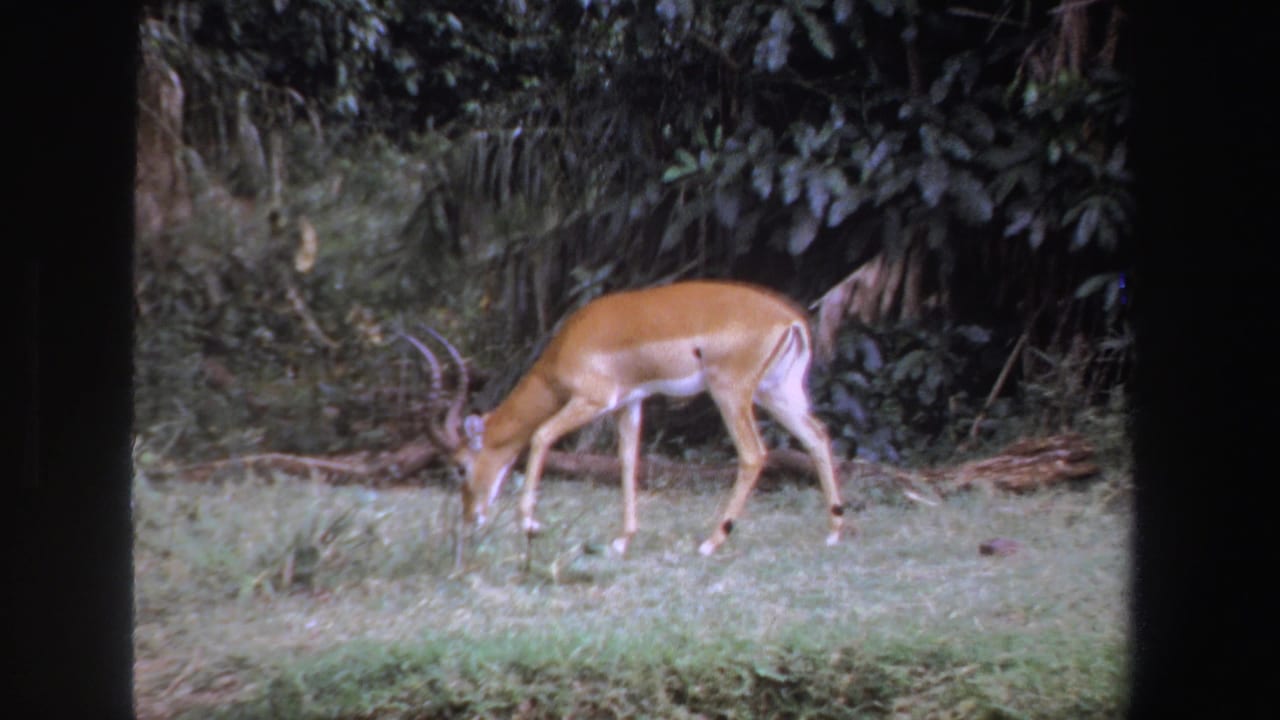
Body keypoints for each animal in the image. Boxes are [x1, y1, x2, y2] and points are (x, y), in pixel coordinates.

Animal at [404, 280, 848, 558]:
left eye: (460, 467)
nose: (471, 518)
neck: (568, 346)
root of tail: (789, 319)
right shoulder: (628, 405)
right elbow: (628, 462)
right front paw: (623, 541)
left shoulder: (592, 400)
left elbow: (541, 436)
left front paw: (530, 524)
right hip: (777, 393)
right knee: (818, 436)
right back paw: (833, 532)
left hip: (731, 393)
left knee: (754, 454)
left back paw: (711, 542)